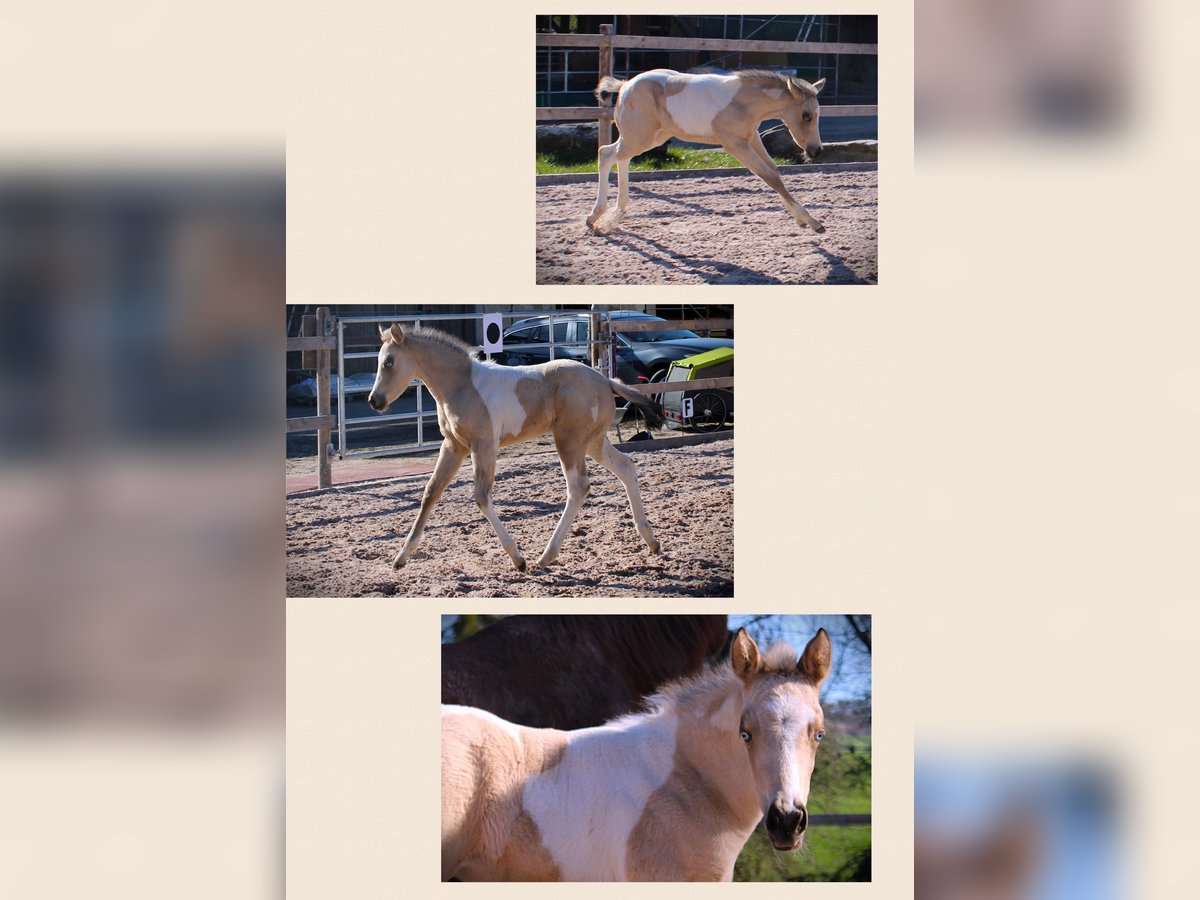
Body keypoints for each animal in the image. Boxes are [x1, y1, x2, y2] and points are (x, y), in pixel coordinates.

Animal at [367, 324, 663, 571]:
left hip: (569, 441)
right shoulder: (453, 446)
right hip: (593, 442)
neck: (463, 385)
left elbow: (481, 496)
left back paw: (545, 557)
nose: (374, 401)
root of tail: (605, 380)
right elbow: (431, 492)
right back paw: (651, 540)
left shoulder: (483, 445)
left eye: (389, 362)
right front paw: (401, 557)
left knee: (578, 488)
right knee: (626, 467)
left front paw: (517, 559)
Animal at [587, 69, 828, 232]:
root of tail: (625, 85)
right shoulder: (734, 143)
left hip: (651, 137)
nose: (816, 151)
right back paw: (596, 215)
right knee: (606, 153)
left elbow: (774, 170)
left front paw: (799, 219)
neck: (742, 101)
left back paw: (617, 211)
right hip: (640, 136)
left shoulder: (752, 136)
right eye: (806, 116)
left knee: (620, 157)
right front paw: (813, 222)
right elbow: (770, 177)